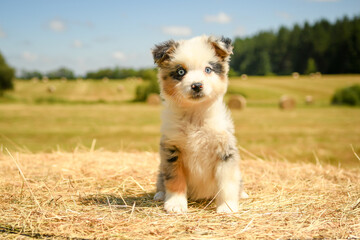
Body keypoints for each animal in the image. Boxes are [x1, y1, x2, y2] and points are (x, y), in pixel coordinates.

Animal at [152, 34, 248, 213]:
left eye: (208, 69)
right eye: (181, 71)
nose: (196, 85)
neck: (195, 116)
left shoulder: (225, 151)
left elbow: (227, 182)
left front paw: (227, 207)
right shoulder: (171, 150)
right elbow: (174, 179)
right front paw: (175, 204)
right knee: (161, 179)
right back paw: (160, 194)